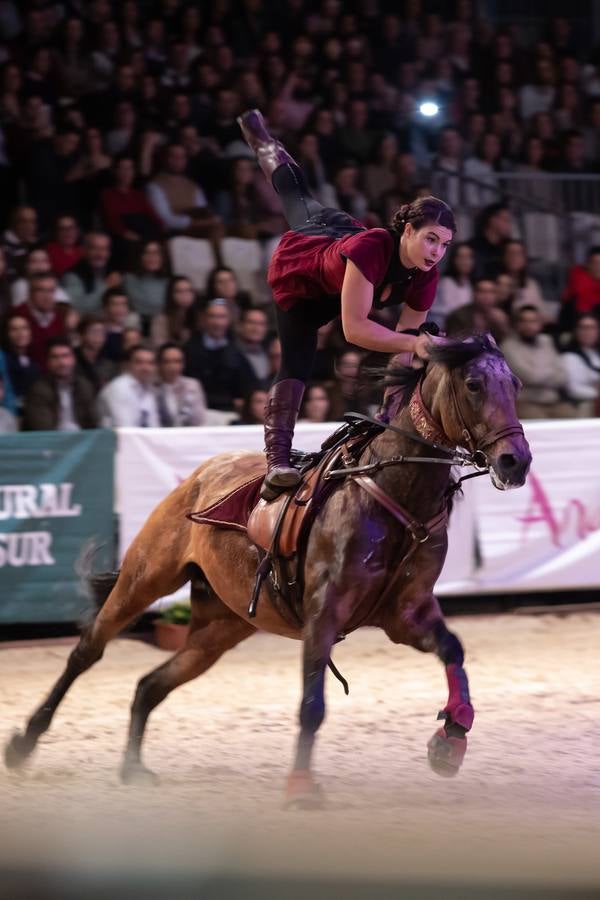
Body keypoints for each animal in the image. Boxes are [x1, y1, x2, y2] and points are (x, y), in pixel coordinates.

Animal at [4, 338, 528, 808]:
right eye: (474, 384)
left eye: (515, 384)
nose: (516, 460)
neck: (390, 489)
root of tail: (201, 474)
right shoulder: (323, 612)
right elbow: (312, 704)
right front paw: (300, 786)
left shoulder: (406, 614)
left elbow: (452, 649)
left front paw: (452, 736)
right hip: (145, 576)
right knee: (88, 650)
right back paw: (25, 743)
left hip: (221, 625)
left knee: (149, 685)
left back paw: (132, 767)